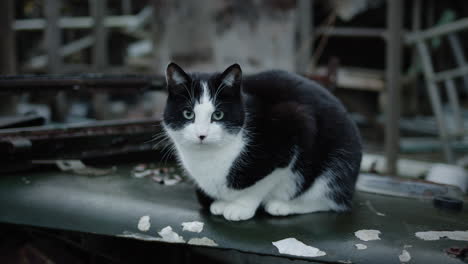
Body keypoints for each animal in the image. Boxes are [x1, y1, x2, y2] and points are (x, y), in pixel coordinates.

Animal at [163, 63, 364, 221]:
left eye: (218, 115)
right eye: (188, 113)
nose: (202, 135)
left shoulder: (294, 127)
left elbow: (261, 184)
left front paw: (240, 207)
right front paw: (222, 203)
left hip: (336, 165)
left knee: (328, 200)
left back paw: (284, 206)